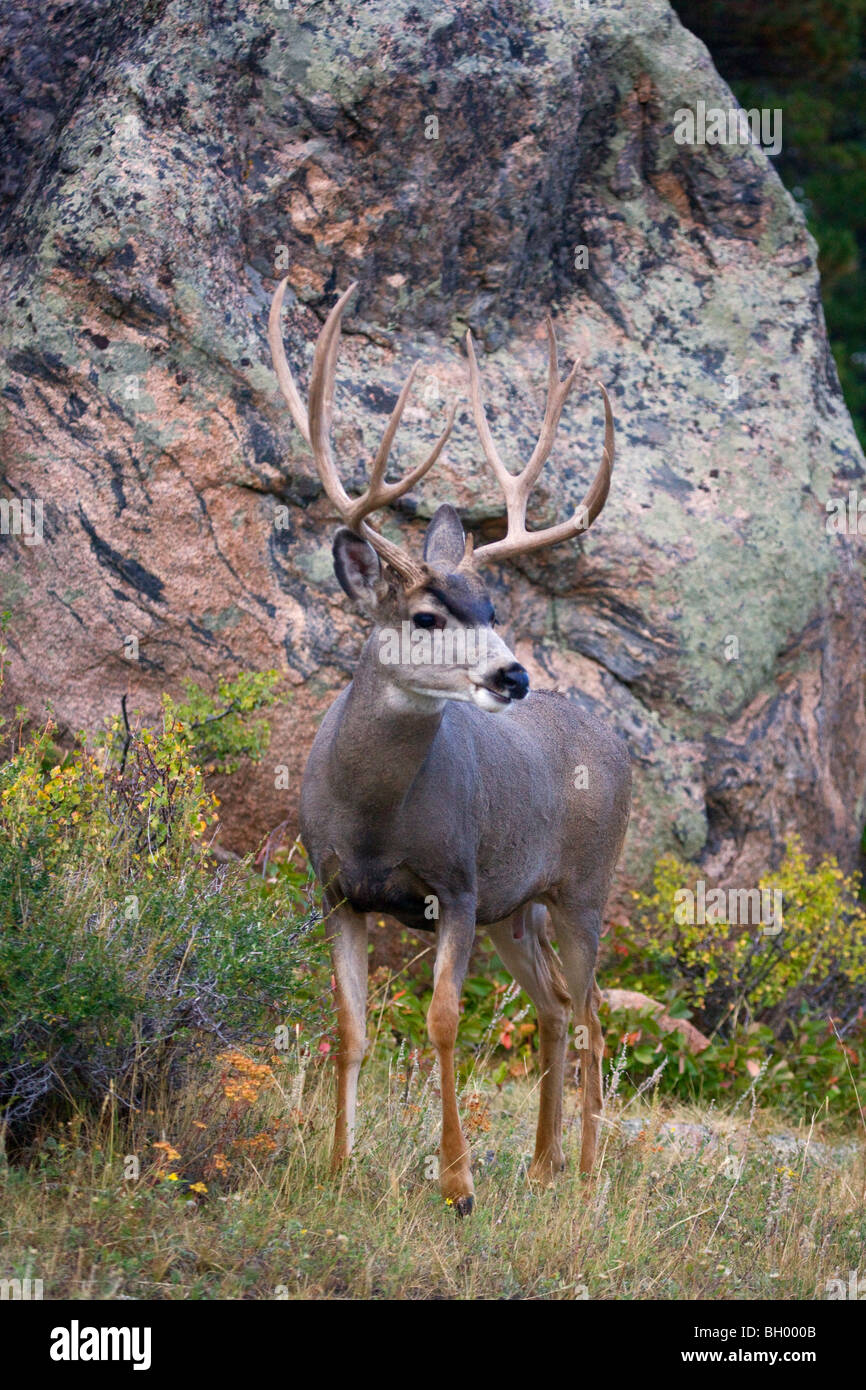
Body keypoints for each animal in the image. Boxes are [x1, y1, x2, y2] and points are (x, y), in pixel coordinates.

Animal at [268, 277, 631, 1215]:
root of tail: (610, 735)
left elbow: (440, 1022)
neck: (374, 818)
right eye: (429, 616)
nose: (513, 675)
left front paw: (458, 1185)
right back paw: (541, 1166)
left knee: (592, 1016)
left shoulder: (458, 886)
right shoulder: (336, 888)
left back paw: (587, 1174)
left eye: (493, 608)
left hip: (583, 887)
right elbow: (350, 1026)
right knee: (553, 1006)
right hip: (519, 903)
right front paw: (337, 1168)